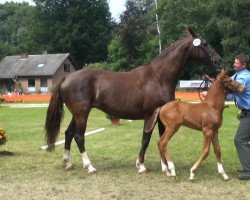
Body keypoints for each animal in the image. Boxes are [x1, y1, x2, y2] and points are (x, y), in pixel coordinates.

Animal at [45, 27, 223, 173]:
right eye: (205, 43)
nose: (219, 61)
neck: (158, 77)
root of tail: (67, 77)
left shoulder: (162, 116)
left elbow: (161, 139)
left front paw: (165, 166)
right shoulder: (150, 114)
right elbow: (146, 139)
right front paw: (141, 165)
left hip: (77, 114)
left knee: (68, 134)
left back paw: (68, 163)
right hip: (82, 113)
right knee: (79, 136)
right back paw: (89, 167)